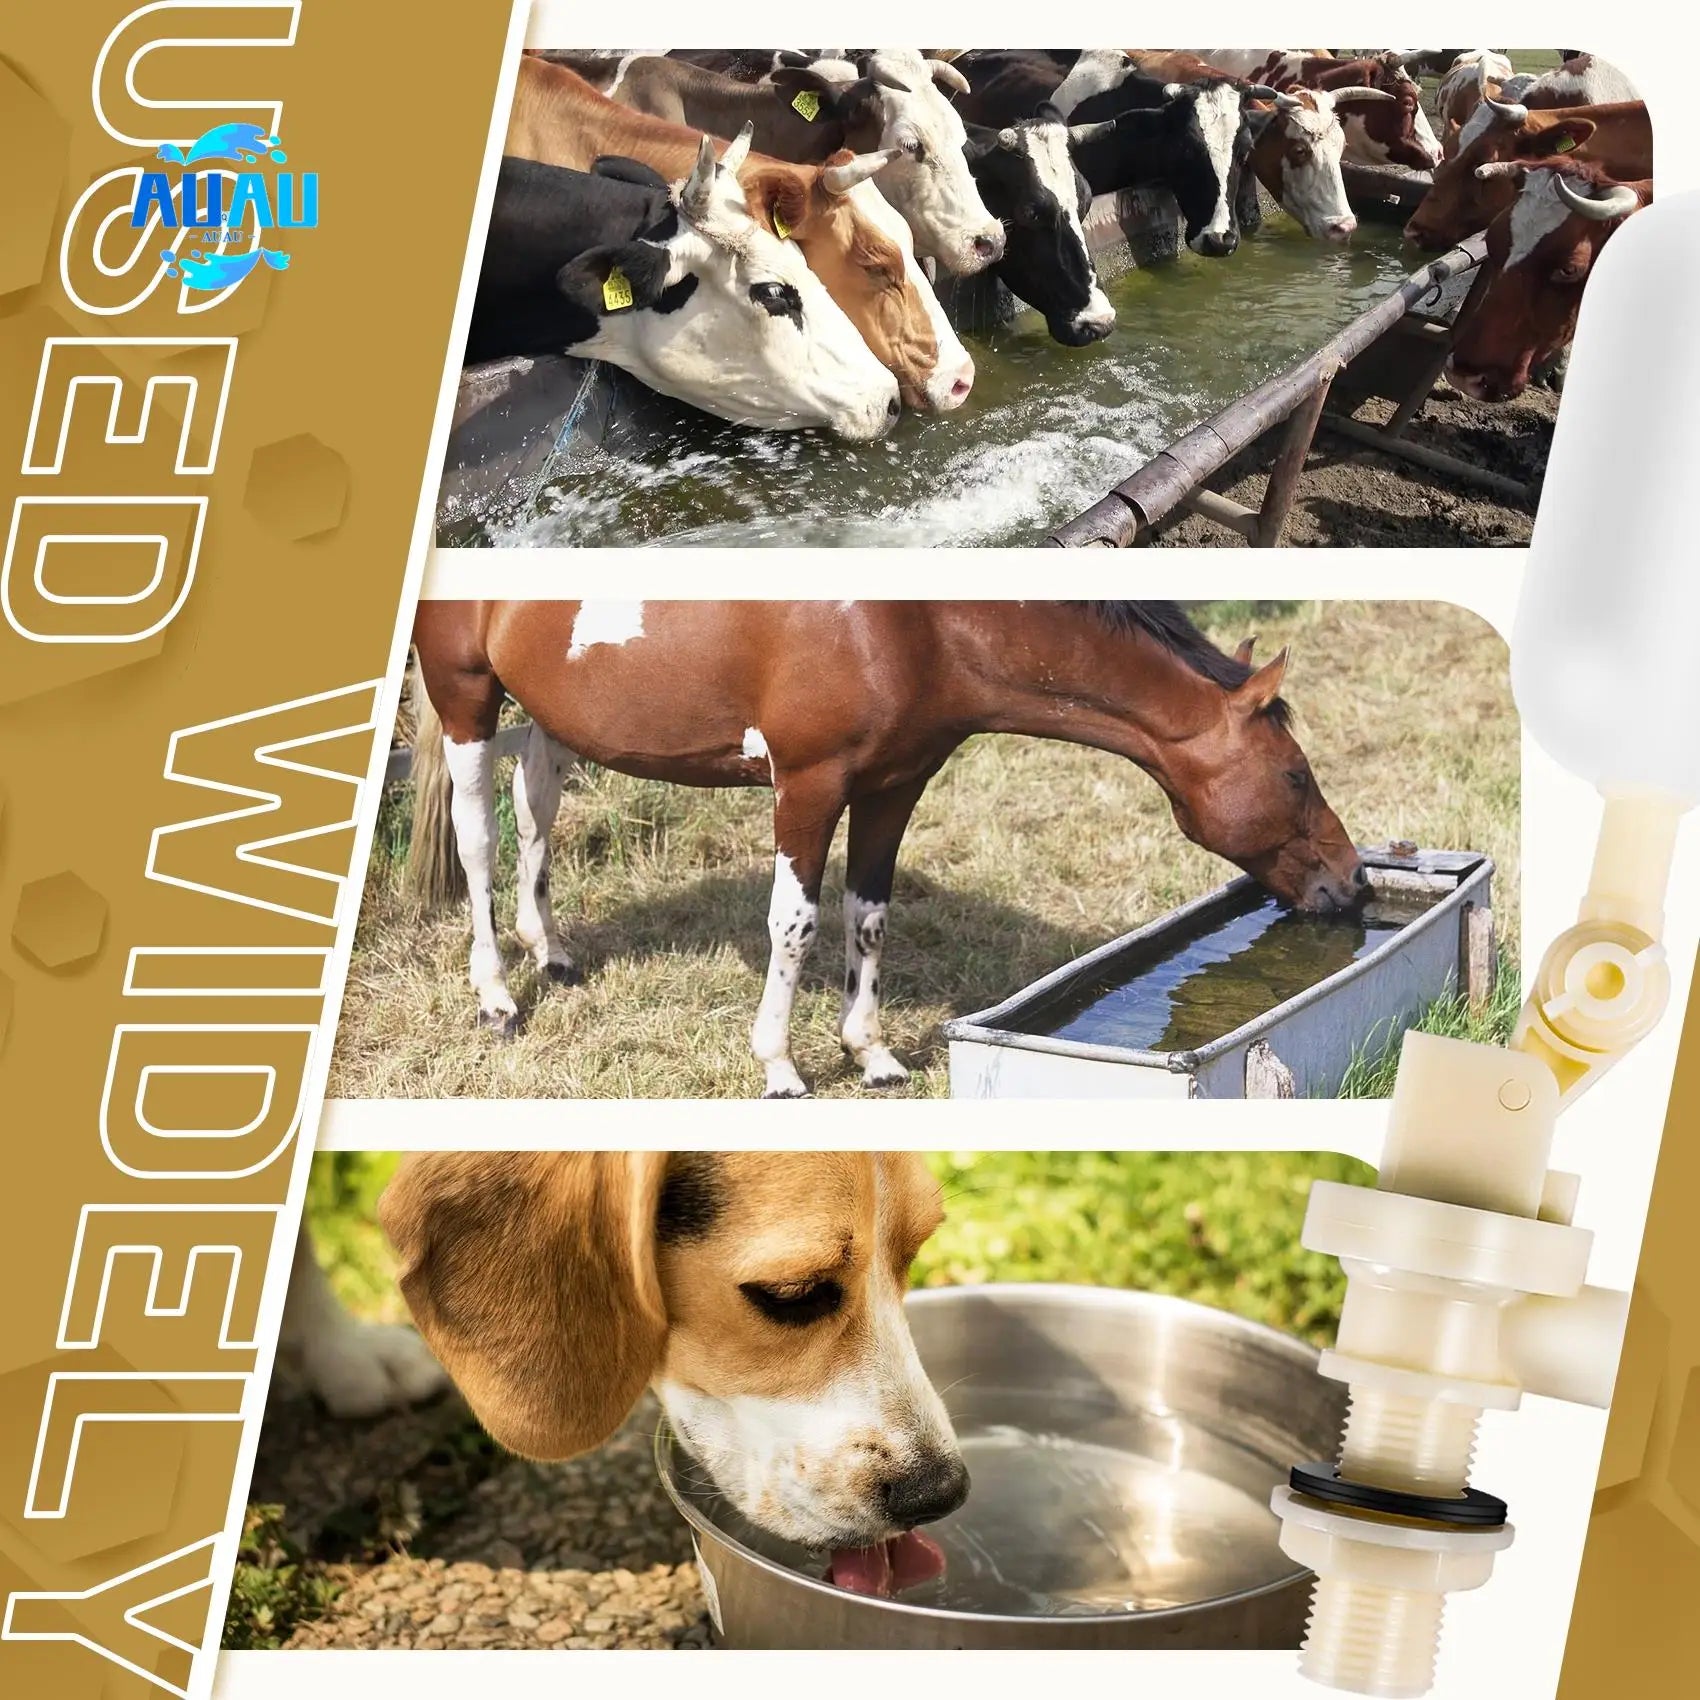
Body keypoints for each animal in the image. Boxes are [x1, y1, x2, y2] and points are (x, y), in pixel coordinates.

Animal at [408, 601, 1366, 1098]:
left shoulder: (894, 785)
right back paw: (497, 995)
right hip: (465, 694)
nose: (1351, 883)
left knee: (537, 801)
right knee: (481, 838)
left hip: (552, 707)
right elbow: (794, 923)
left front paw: (869, 1052)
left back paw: (552, 952)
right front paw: (779, 1065)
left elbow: (868, 917)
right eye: (1293, 776)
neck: (912, 623)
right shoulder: (807, 785)